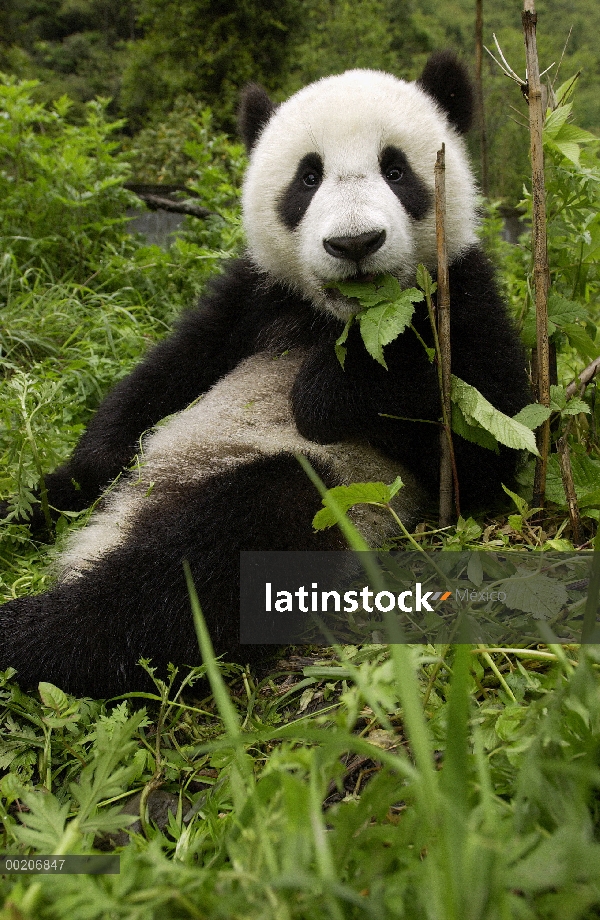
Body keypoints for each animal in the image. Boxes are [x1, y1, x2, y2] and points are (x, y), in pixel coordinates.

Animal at [0, 52, 528, 696]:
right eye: (308, 178)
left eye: (396, 170)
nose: (356, 243)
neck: (335, 317)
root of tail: (116, 529)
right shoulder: (254, 296)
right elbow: (167, 373)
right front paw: (100, 453)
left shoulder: (464, 300)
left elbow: (485, 439)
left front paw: (326, 392)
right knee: (59, 504)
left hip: (318, 493)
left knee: (199, 571)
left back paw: (32, 634)